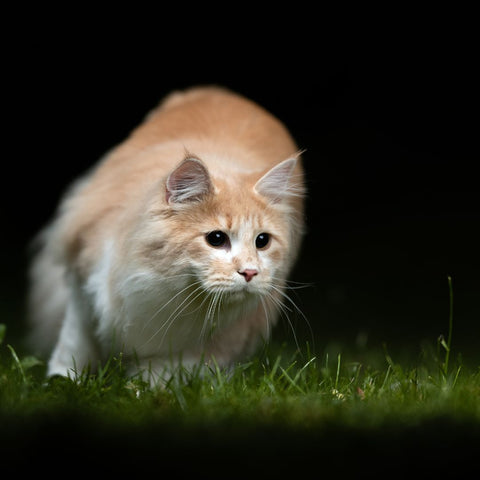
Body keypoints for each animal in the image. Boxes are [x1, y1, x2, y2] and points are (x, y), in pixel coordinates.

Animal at [28, 86, 306, 384]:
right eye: (216, 239)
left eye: (262, 241)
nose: (250, 272)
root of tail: (221, 91)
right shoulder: (84, 284)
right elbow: (75, 346)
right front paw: (63, 382)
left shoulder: (206, 345)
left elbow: (158, 374)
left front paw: (140, 389)